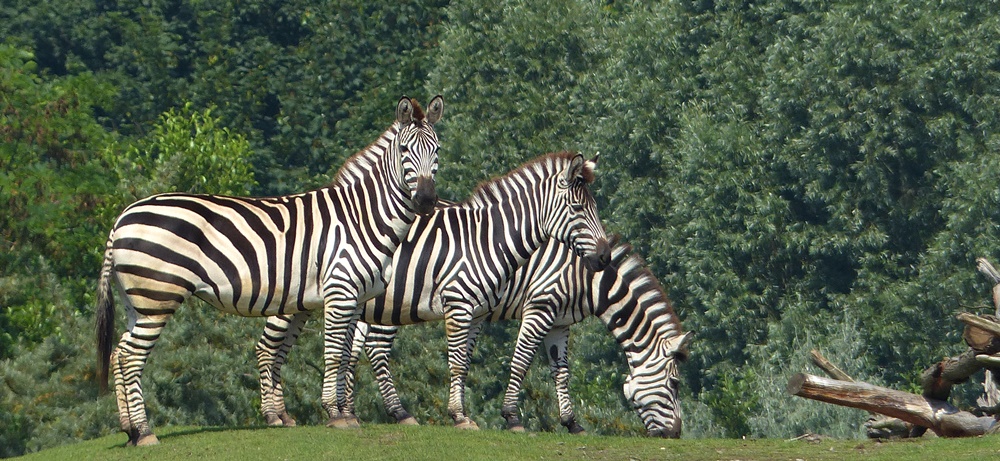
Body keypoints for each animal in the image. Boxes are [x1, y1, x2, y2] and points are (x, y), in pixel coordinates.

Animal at [95, 95, 444, 444]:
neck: (363, 216)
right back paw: (144, 432)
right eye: (404, 150)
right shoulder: (340, 291)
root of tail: (122, 217)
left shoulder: (357, 299)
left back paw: (130, 431)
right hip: (157, 295)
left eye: (437, 149)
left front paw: (345, 414)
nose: (427, 200)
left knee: (119, 353)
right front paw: (334, 415)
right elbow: (333, 354)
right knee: (131, 357)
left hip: (137, 300)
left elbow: (346, 355)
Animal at [254, 150, 608, 428]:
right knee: (268, 348)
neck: (486, 239)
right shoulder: (463, 304)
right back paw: (273, 416)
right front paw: (463, 417)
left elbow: (467, 361)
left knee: (284, 351)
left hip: (305, 303)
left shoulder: (477, 312)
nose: (604, 256)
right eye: (578, 209)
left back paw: (291, 414)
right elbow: (460, 361)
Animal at [348, 237, 692, 438]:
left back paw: (349, 412)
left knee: (353, 350)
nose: (675, 434)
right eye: (675, 384)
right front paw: (512, 417)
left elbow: (561, 373)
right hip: (394, 302)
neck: (587, 277)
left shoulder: (559, 322)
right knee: (375, 349)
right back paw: (399, 413)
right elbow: (521, 362)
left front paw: (571, 422)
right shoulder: (540, 307)